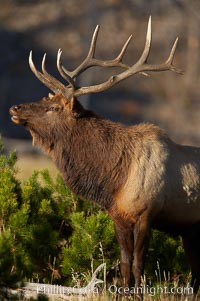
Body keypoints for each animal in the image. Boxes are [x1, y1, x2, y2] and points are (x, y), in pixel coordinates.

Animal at [9, 18, 200, 298]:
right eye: (45, 97)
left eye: (53, 107)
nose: (15, 107)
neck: (115, 180)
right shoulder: (118, 215)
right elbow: (124, 262)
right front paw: (124, 293)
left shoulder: (147, 214)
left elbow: (139, 263)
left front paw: (138, 294)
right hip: (191, 232)